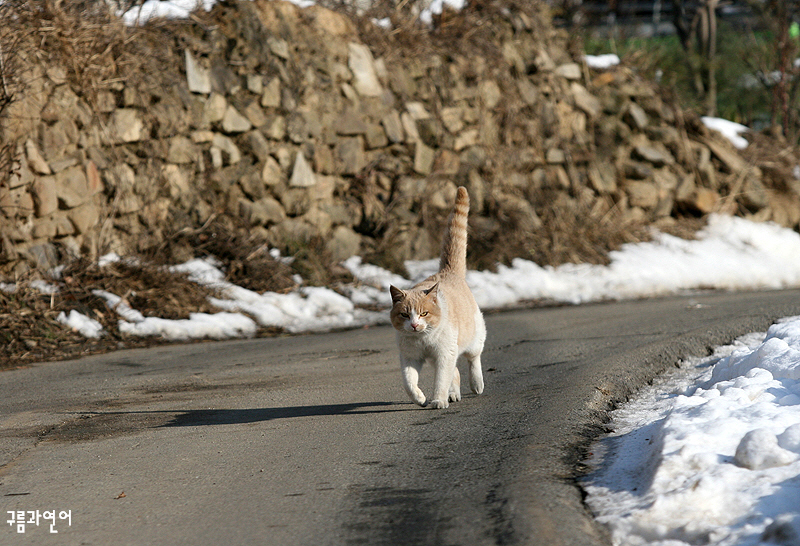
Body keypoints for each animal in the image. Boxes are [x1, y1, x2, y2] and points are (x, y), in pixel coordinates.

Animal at [390, 185, 484, 406]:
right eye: (405, 315)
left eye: (424, 313)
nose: (414, 325)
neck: (422, 339)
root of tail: (447, 272)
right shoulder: (410, 358)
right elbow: (409, 383)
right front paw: (420, 398)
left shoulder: (444, 355)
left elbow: (441, 380)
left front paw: (438, 401)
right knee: (455, 372)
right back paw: (454, 394)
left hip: (473, 339)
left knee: (473, 359)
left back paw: (476, 385)